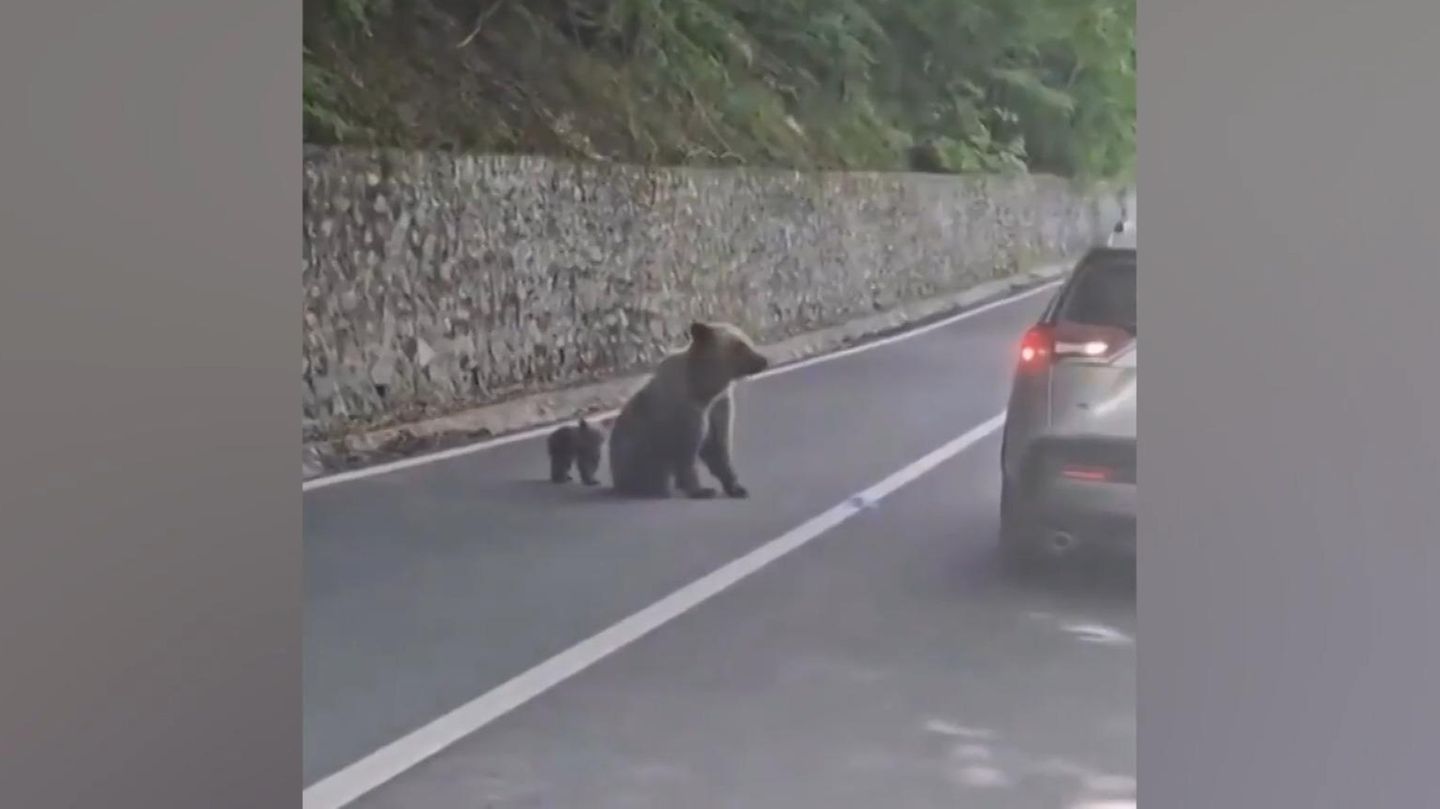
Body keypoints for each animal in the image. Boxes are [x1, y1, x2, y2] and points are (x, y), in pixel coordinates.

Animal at [607, 321, 770, 499]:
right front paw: (702, 490)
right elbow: (687, 451)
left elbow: (718, 446)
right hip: (637, 459)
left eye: (748, 341)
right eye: (739, 346)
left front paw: (736, 487)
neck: (704, 389)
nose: (763, 360)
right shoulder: (687, 411)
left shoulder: (720, 405)